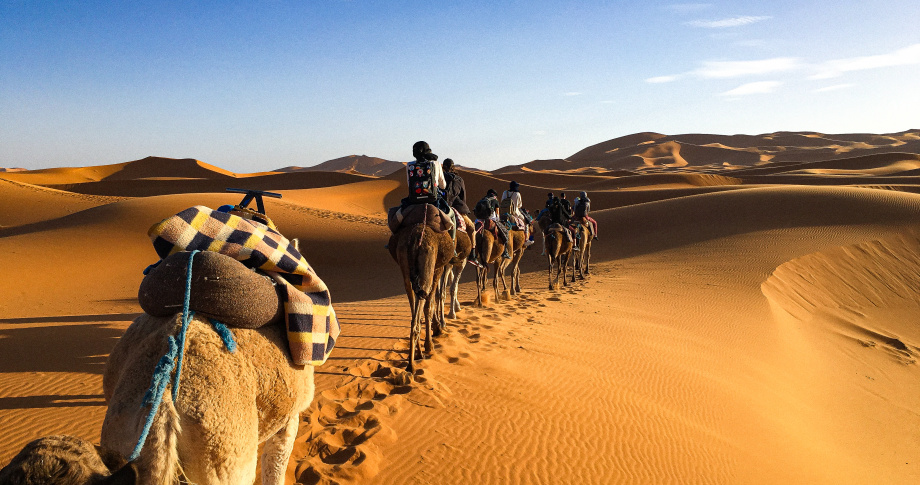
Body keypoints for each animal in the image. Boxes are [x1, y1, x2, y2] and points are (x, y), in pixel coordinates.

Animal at [386, 207, 454, 370]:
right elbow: (430, 304)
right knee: (423, 297)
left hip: (405, 264)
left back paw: (415, 355)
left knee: (413, 301)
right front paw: (432, 340)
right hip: (428, 263)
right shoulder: (438, 268)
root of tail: (417, 239)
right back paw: (413, 363)